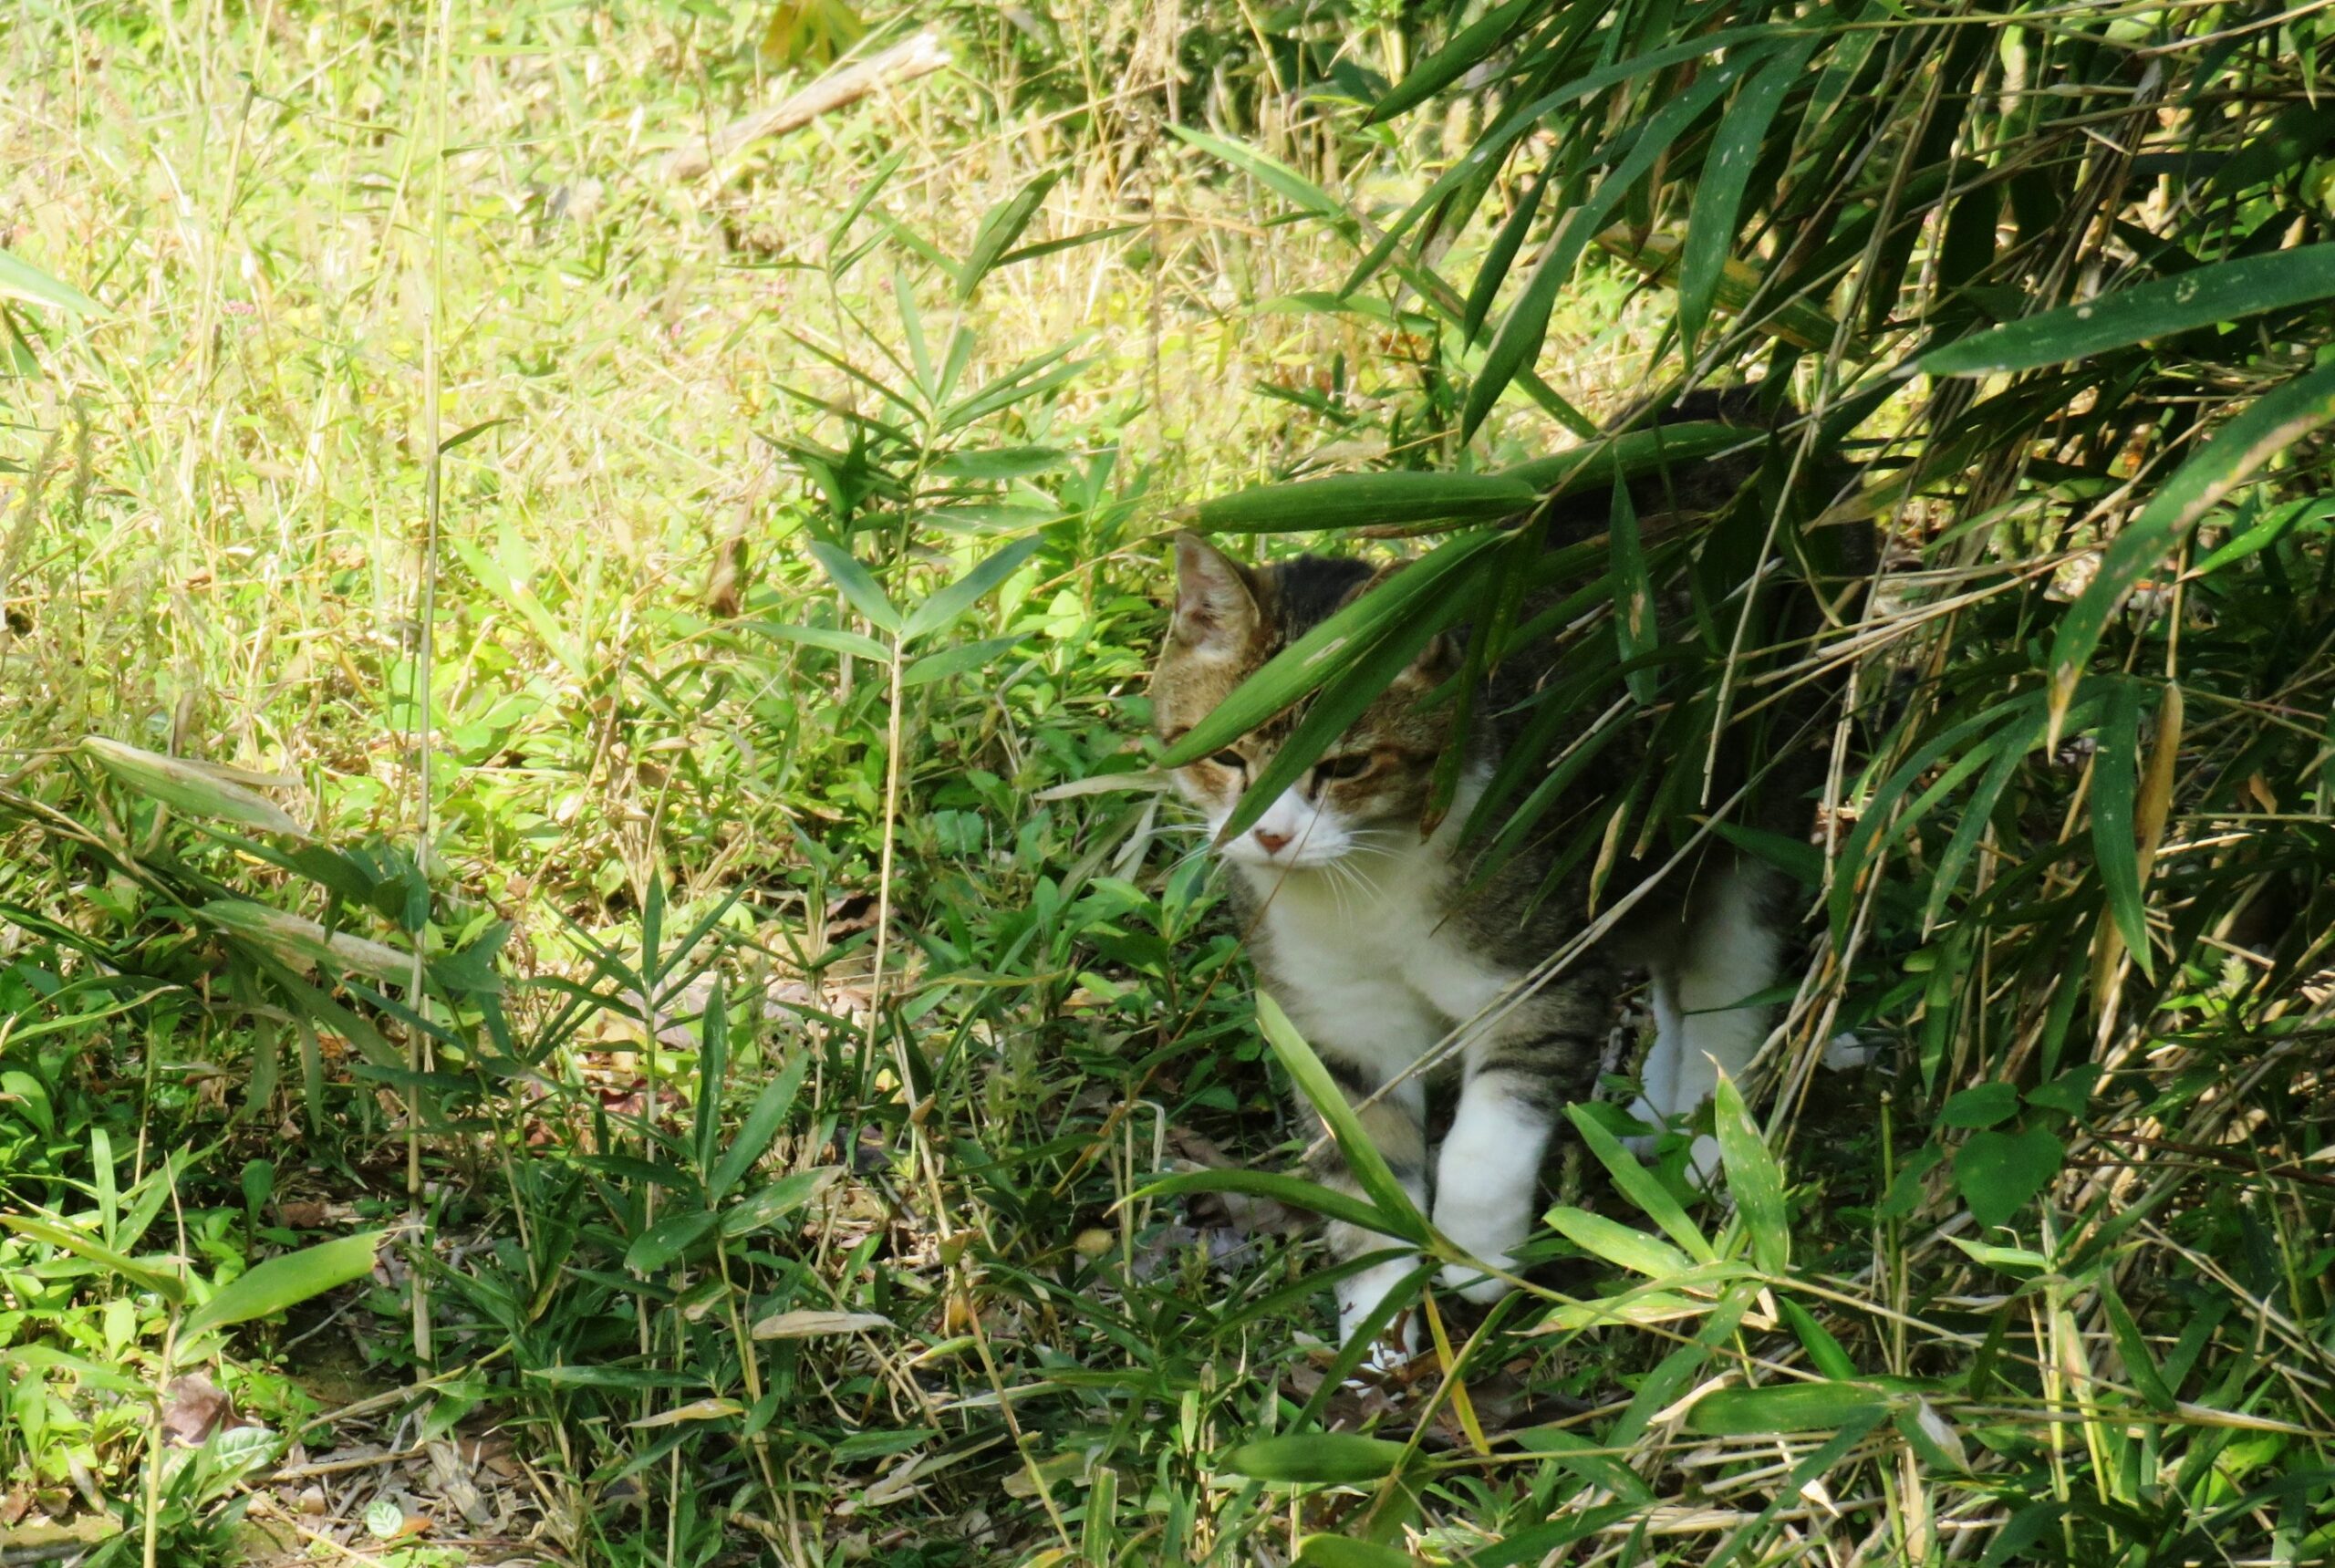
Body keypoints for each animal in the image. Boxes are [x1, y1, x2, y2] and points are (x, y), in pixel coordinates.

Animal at [1148, 400, 1858, 1355]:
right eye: (1227, 757)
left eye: (1345, 766)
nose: (1268, 833)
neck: (1366, 884)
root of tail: (1753, 408)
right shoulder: (1334, 1020)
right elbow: (1368, 1174)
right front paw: (1377, 1333)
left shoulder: (1542, 971)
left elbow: (1493, 1128)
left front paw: (1476, 1253)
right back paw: (1653, 1120)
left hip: (1753, 809)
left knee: (1728, 995)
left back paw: (1718, 1153)